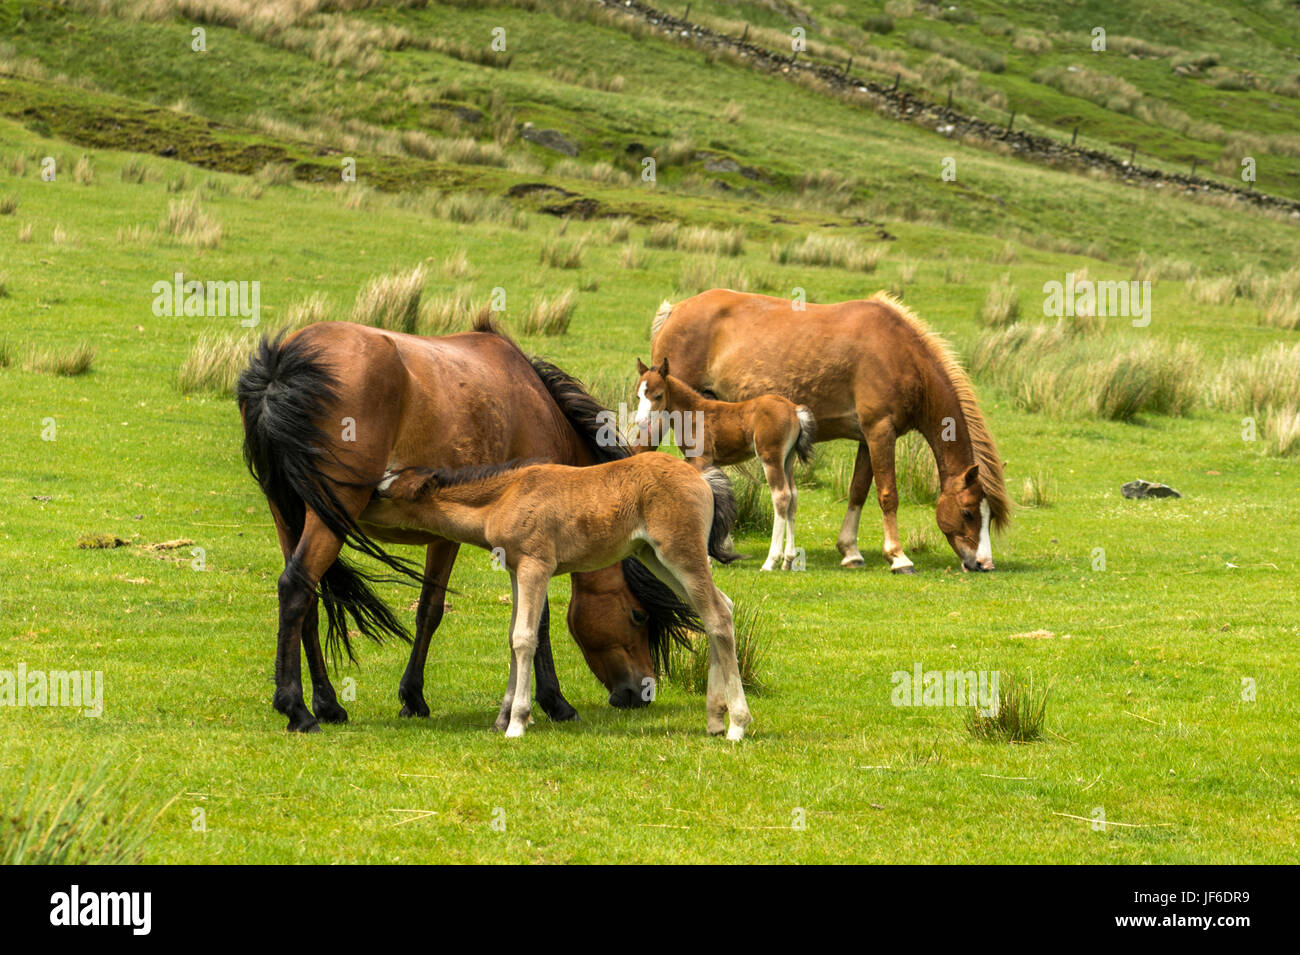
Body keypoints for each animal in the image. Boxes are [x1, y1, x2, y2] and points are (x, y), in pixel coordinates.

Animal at [236, 317, 701, 733]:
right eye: (638, 615)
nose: (640, 693)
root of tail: (283, 363)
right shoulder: (511, 540)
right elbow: (528, 620)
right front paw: (555, 703)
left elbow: (429, 610)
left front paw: (413, 698)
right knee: (296, 586)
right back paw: (297, 709)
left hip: (289, 514)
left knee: (307, 600)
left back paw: (328, 704)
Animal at [365, 455, 751, 740]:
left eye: (383, 492)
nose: (357, 508)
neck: (506, 495)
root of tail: (701, 475)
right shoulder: (516, 570)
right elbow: (513, 637)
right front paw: (503, 718)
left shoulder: (536, 566)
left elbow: (524, 638)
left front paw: (517, 723)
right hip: (654, 556)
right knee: (718, 609)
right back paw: (715, 719)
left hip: (680, 553)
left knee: (718, 615)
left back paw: (736, 724)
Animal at [632, 357, 815, 571]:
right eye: (638, 395)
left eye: (658, 395)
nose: (640, 421)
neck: (692, 414)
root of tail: (794, 410)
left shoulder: (700, 459)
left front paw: (708, 557)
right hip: (788, 460)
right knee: (793, 496)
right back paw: (788, 560)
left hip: (770, 458)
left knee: (781, 496)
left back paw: (771, 561)